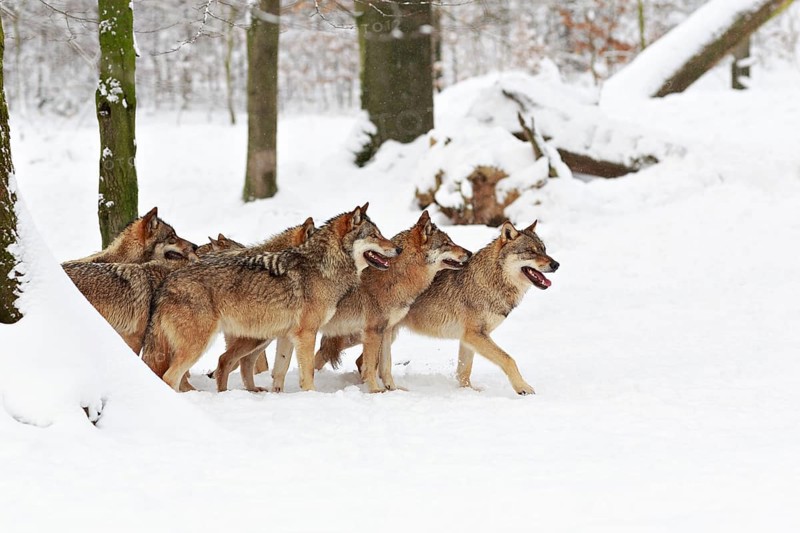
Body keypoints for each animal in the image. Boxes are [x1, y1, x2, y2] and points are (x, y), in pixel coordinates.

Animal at [142, 204, 399, 393]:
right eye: (375, 235)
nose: (398, 249)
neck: (323, 267)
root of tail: (166, 283)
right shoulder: (307, 334)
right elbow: (308, 374)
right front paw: (312, 397)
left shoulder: (287, 336)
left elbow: (279, 372)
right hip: (200, 345)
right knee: (170, 377)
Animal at [290, 211, 472, 393]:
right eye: (447, 243)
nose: (470, 253)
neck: (397, 276)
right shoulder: (373, 331)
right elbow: (371, 366)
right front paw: (375, 390)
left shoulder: (386, 330)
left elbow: (386, 365)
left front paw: (393, 389)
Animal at [389, 220, 559, 395]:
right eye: (530, 251)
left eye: (544, 250)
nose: (556, 264)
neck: (490, 281)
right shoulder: (474, 335)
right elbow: (509, 359)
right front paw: (523, 388)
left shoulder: (468, 338)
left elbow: (464, 371)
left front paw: (468, 391)